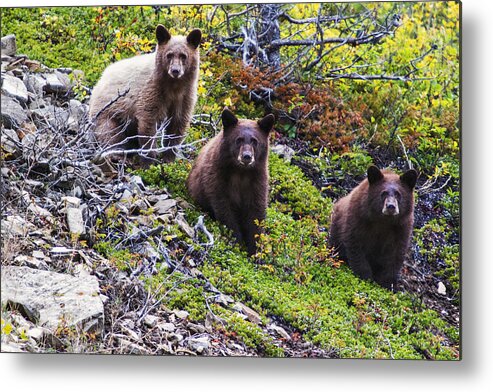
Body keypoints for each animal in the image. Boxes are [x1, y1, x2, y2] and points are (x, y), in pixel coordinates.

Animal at [89, 24, 202, 165]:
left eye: (183, 55)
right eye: (169, 55)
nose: (175, 70)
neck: (173, 85)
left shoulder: (185, 95)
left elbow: (177, 123)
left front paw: (169, 158)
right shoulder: (151, 90)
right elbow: (148, 121)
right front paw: (149, 161)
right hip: (107, 112)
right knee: (110, 134)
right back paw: (118, 155)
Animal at [186, 107, 274, 256]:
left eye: (255, 141)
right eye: (239, 139)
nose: (246, 156)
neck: (241, 172)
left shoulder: (257, 181)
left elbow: (256, 212)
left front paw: (255, 250)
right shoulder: (217, 177)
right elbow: (225, 210)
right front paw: (237, 243)